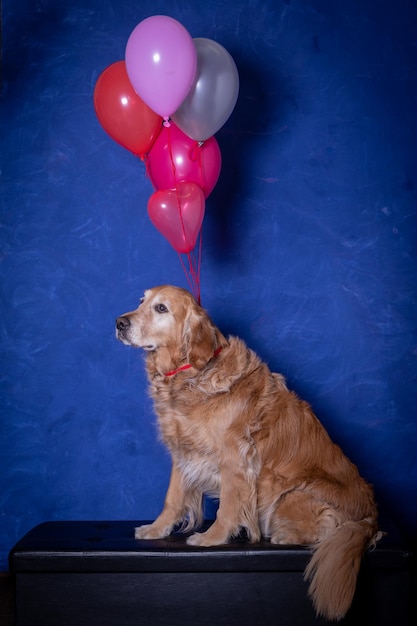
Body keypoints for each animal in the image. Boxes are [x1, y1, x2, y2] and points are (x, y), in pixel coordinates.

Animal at [115, 286, 378, 616]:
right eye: (141, 301)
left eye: (161, 308)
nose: (119, 323)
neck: (188, 375)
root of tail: (370, 516)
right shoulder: (183, 452)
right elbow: (172, 499)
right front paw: (157, 529)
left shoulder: (235, 458)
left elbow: (228, 505)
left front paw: (212, 537)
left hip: (292, 493)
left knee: (327, 528)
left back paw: (284, 535)